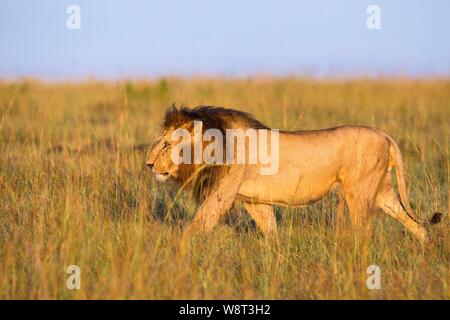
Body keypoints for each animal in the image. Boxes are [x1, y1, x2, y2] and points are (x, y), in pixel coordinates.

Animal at [145, 105, 442, 242]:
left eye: (167, 144)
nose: (148, 165)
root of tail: (385, 135)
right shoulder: (255, 201)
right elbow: (270, 231)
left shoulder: (222, 195)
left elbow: (196, 226)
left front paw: (179, 255)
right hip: (382, 191)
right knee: (413, 223)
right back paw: (425, 251)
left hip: (359, 191)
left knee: (365, 229)